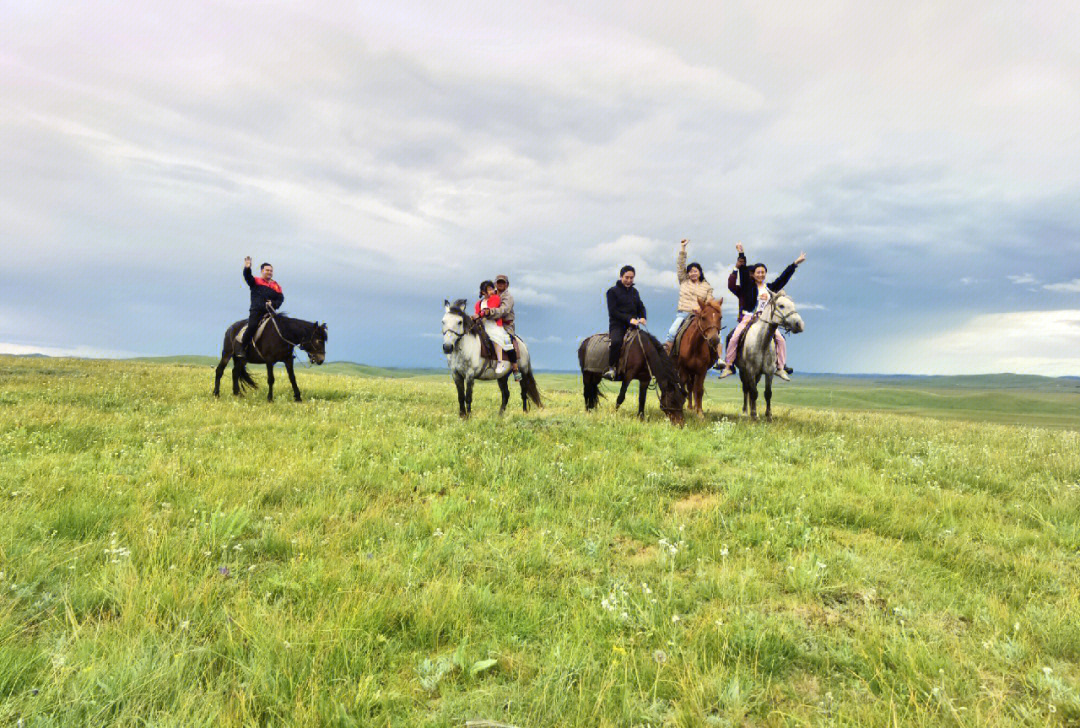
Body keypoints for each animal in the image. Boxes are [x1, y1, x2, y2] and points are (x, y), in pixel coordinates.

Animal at [734, 289, 803, 419]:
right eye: (781, 305)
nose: (800, 324)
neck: (762, 342)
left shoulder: (769, 371)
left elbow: (767, 393)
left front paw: (768, 415)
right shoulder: (750, 370)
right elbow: (754, 392)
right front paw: (754, 415)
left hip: (757, 374)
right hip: (743, 371)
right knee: (746, 389)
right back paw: (745, 411)